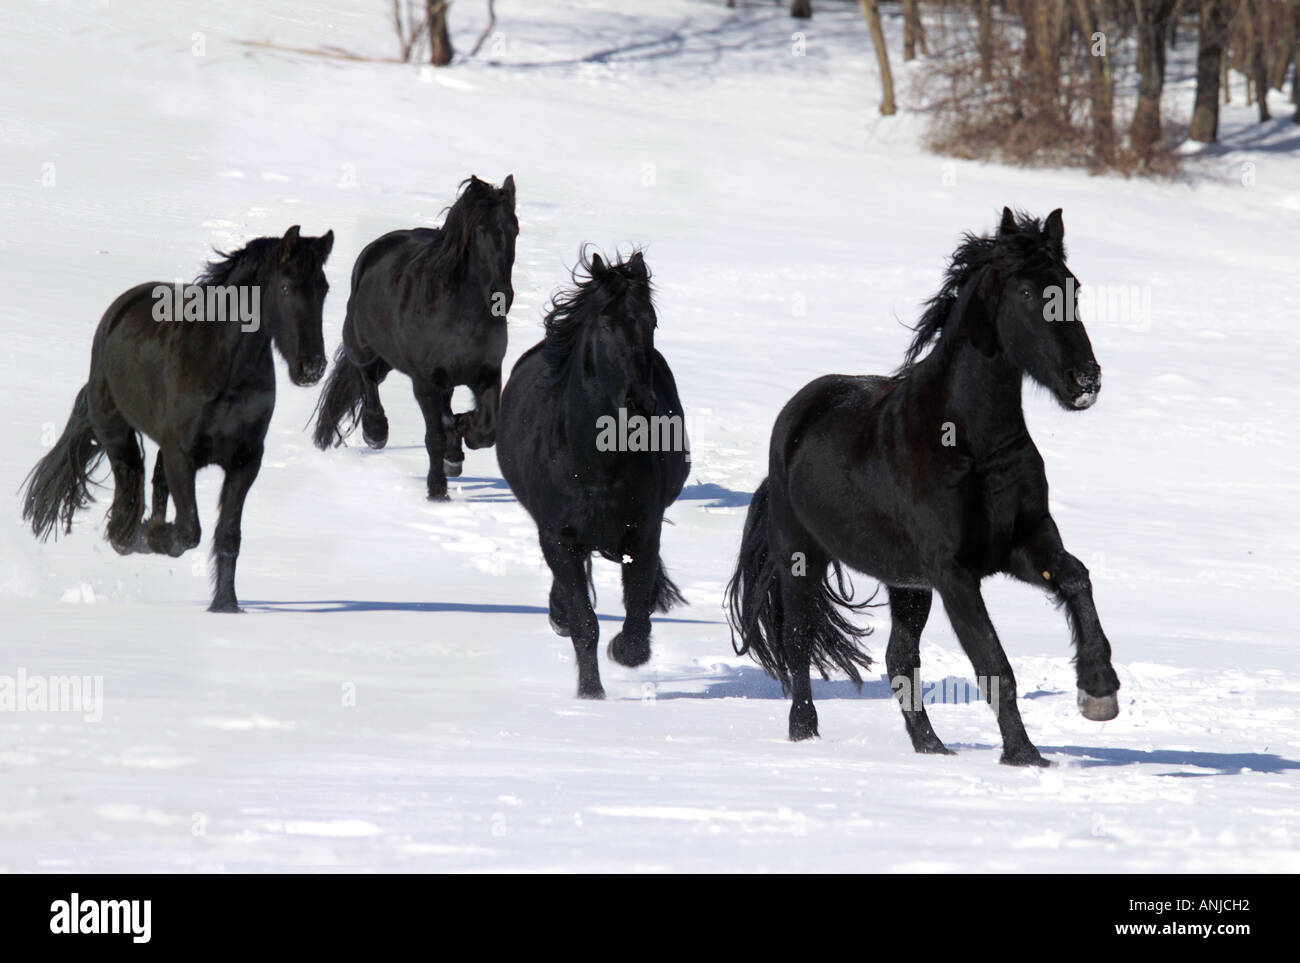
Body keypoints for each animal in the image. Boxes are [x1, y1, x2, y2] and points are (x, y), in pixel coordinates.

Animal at [21, 225, 334, 612]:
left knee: (153, 483)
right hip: (117, 434)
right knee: (130, 489)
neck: (224, 368)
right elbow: (189, 530)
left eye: (323, 288)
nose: (312, 367)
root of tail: (117, 313)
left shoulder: (246, 460)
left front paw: (226, 607)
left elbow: (228, 536)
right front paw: (156, 536)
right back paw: (131, 534)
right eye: (287, 287)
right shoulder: (182, 456)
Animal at [312, 174, 518, 500]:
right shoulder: (425, 383)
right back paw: (376, 432)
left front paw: (461, 436)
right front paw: (437, 492)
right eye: (480, 230)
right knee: (366, 377)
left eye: (515, 229)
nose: (502, 297)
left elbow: (485, 431)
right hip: (365, 347)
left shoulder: (487, 374)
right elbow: (434, 436)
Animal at [497, 250, 690, 699]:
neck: (597, 463)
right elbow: (585, 622)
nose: (640, 403)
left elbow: (636, 612)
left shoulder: (643, 533)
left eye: (650, 322)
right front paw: (591, 693)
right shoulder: (559, 537)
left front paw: (626, 651)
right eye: (606, 324)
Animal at [725, 208, 1120, 766]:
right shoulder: (954, 572)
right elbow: (995, 665)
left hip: (907, 586)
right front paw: (1024, 756)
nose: (1084, 380)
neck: (971, 445)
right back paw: (805, 734)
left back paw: (932, 747)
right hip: (800, 558)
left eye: (1073, 288)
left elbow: (1077, 578)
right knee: (798, 639)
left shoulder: (1022, 545)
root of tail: (796, 417)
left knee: (898, 657)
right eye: (1026, 292)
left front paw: (1099, 691)